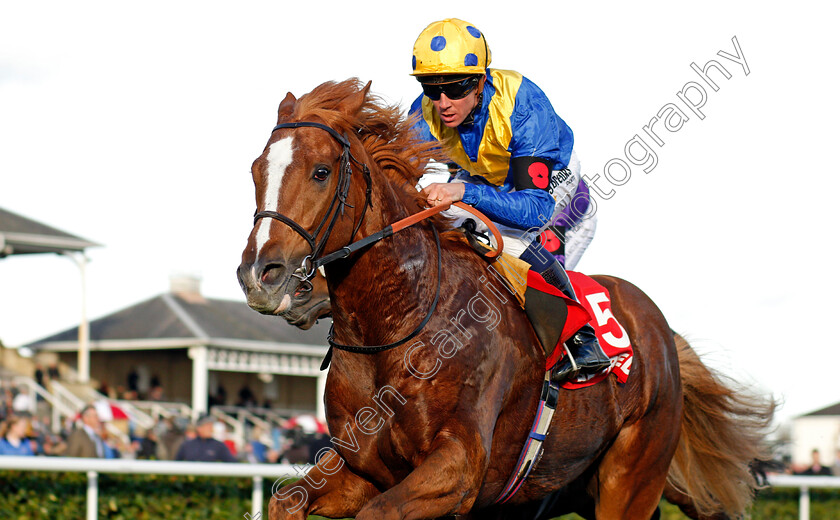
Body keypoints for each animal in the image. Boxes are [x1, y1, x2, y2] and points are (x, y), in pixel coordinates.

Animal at [236, 78, 776, 520]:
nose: (260, 275)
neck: (399, 323)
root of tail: (662, 333)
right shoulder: (362, 467)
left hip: (633, 478)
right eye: (256, 169)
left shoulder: (458, 470)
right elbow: (287, 500)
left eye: (321, 171)